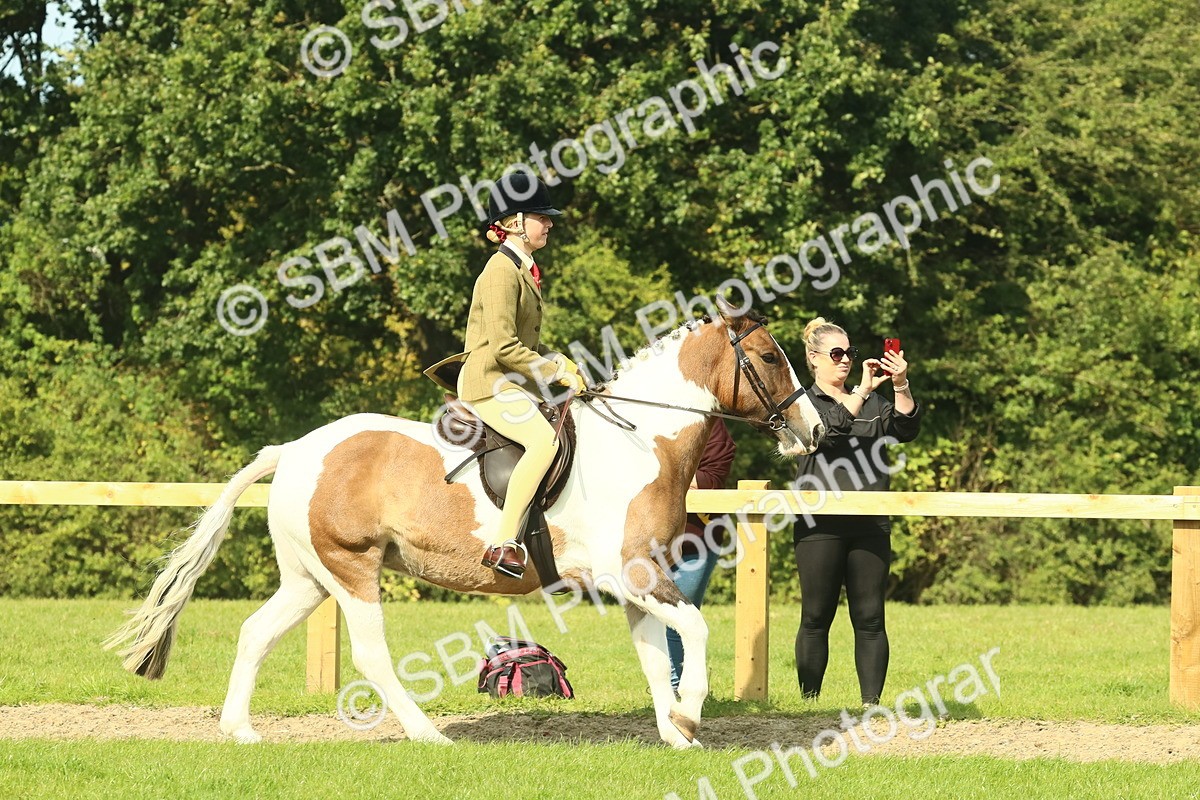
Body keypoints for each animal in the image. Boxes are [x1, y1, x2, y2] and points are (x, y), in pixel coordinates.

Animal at [105, 297, 826, 749]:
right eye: (769, 358)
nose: (814, 430)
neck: (641, 439)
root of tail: (299, 449)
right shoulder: (633, 575)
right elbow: (695, 632)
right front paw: (692, 718)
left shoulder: (640, 583)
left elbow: (656, 660)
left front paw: (676, 733)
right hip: (352, 568)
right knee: (370, 653)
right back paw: (427, 734)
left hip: (310, 577)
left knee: (256, 632)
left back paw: (240, 731)